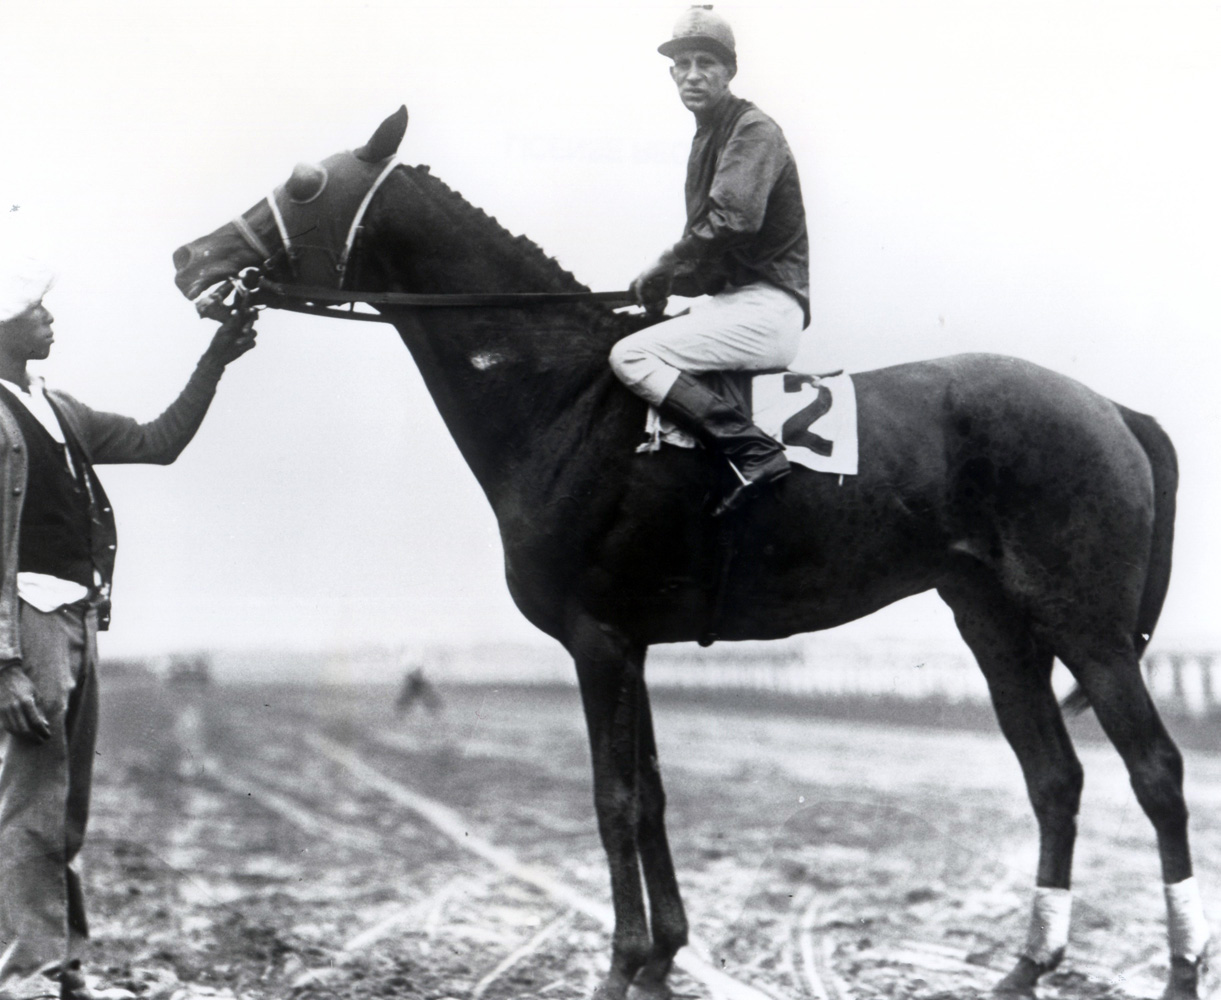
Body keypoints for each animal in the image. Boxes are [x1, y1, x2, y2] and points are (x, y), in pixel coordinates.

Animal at [172, 109, 1211, 1000]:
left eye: (303, 183)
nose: (192, 256)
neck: (567, 398)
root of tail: (1111, 408)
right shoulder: (629, 641)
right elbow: (654, 798)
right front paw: (665, 956)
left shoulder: (596, 638)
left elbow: (614, 799)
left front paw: (621, 965)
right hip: (996, 624)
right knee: (1054, 780)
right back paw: (1025, 966)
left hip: (1087, 626)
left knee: (1156, 774)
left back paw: (1179, 968)